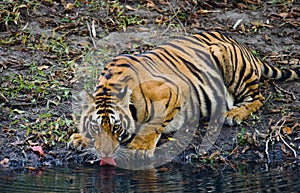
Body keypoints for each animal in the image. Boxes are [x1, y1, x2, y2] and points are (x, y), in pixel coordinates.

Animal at [69, 30, 298, 167]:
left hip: (230, 62)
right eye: (96, 127)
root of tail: (242, 45)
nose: (105, 153)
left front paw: (139, 148)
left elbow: (154, 124)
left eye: (116, 127)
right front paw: (80, 138)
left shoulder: (174, 90)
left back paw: (233, 114)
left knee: (258, 98)